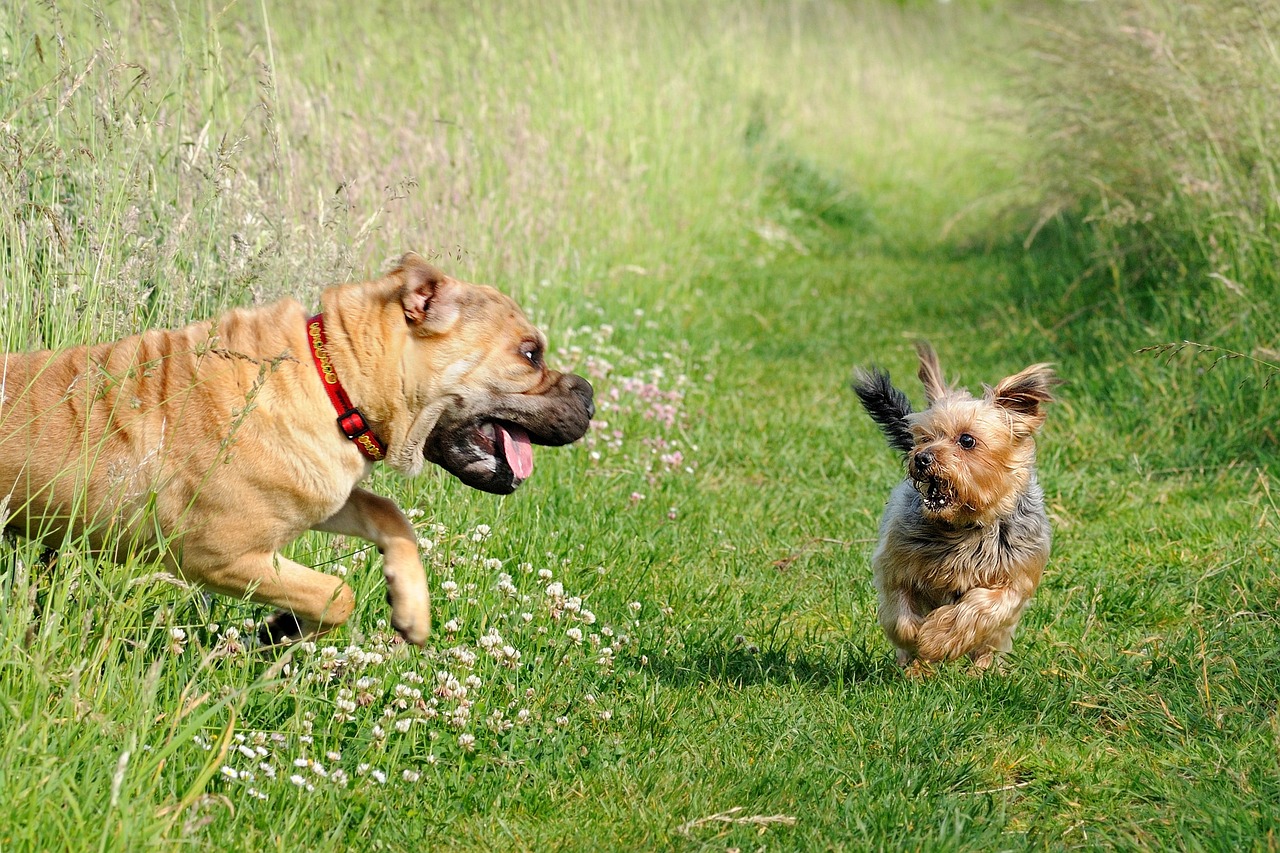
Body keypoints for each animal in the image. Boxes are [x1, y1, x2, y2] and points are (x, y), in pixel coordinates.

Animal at [0, 252, 593, 645]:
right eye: (530, 354)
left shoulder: (321, 495)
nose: (589, 395)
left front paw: (411, 609)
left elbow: (390, 515)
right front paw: (283, 627)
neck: (338, 377)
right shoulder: (219, 556)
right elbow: (337, 593)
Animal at [855, 343, 1054, 666]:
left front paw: (937, 639)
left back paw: (982, 669)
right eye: (924, 438)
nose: (921, 458)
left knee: (991, 642)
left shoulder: (1016, 578)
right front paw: (915, 639)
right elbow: (899, 609)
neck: (964, 526)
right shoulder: (895, 561)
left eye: (967, 440)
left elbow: (983, 606)